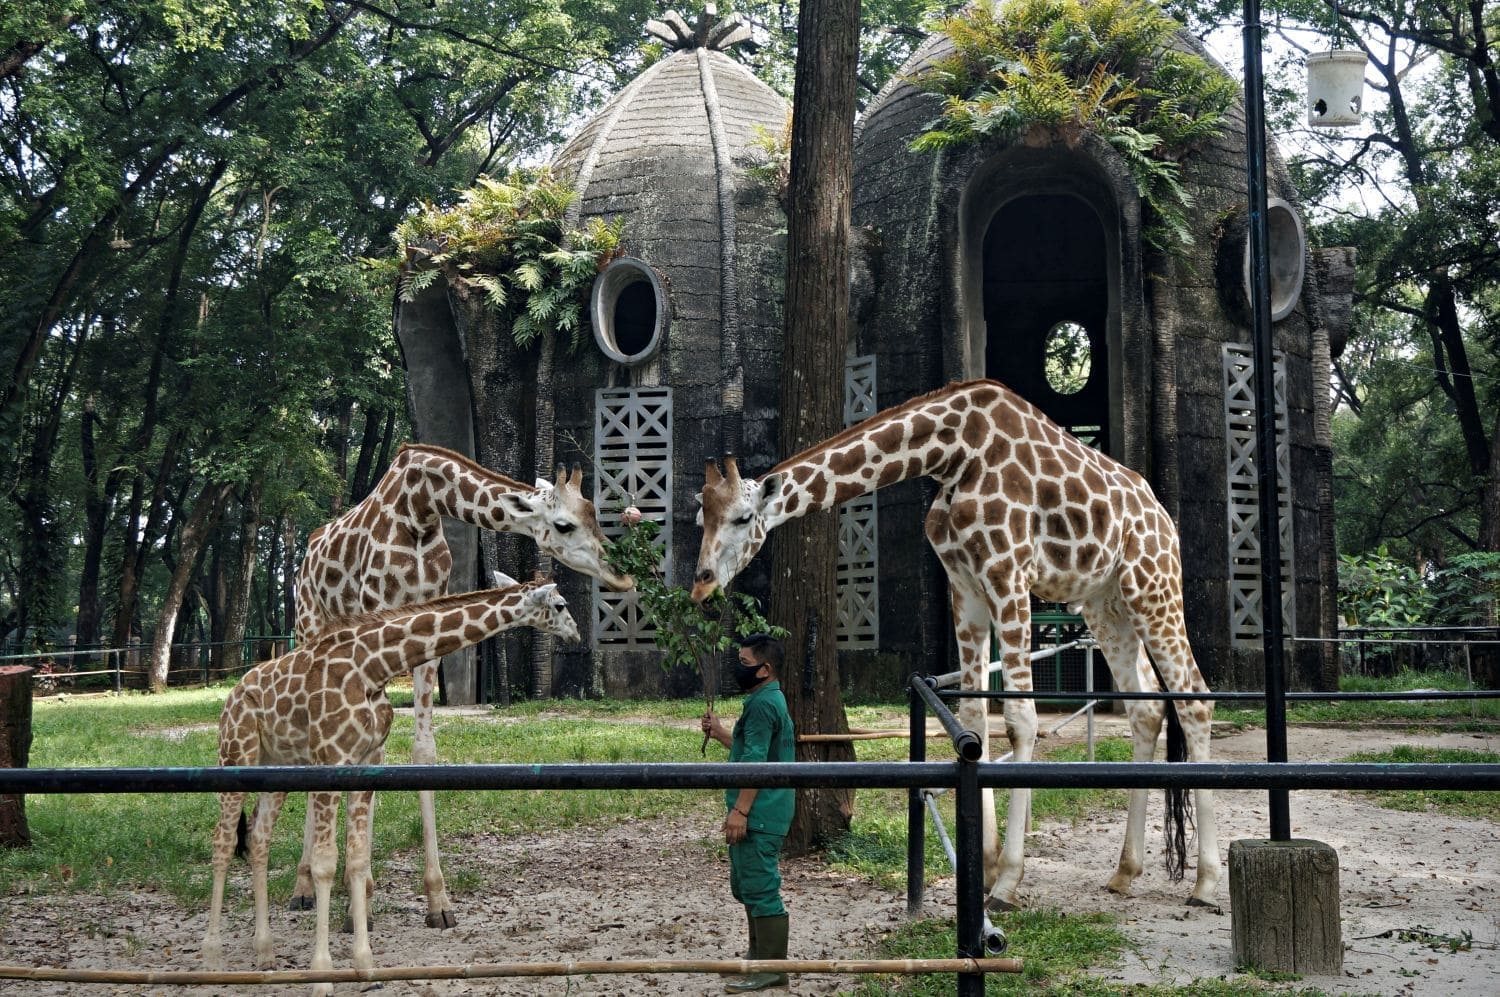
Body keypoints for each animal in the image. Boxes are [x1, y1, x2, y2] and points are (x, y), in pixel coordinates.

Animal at [199, 572, 573, 989]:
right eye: (560, 605)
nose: (576, 634)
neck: (372, 667)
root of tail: (230, 697)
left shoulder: (366, 761)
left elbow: (358, 857)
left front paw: (365, 965)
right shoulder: (330, 756)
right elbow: (325, 862)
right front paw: (322, 975)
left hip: (276, 769)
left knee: (258, 839)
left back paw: (265, 953)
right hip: (235, 755)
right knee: (223, 841)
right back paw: (211, 958)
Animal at [292, 443, 633, 923]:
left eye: (594, 514)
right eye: (564, 524)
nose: (621, 575)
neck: (420, 507)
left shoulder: (425, 633)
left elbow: (423, 751)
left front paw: (437, 899)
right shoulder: (376, 618)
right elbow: (375, 752)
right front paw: (365, 900)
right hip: (309, 627)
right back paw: (303, 886)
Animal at [690, 379, 1218, 911]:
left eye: (743, 518)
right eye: (700, 518)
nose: (701, 583)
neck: (953, 454)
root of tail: (1164, 518)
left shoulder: (1008, 573)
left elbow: (1020, 720)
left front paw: (1007, 882)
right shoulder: (963, 584)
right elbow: (973, 720)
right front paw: (982, 867)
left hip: (1152, 584)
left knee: (1194, 698)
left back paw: (1206, 882)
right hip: (1105, 602)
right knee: (1146, 708)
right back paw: (1125, 871)